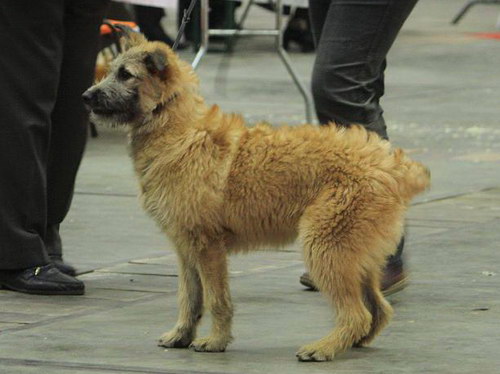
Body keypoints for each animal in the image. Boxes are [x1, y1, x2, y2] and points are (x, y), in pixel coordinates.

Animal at [83, 32, 430, 362]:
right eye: (110, 70)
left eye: (126, 74)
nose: (86, 96)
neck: (174, 125)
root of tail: (393, 165)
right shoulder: (185, 248)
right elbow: (189, 297)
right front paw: (181, 335)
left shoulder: (207, 247)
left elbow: (216, 299)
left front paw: (215, 341)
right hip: (355, 257)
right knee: (378, 310)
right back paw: (350, 342)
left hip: (325, 246)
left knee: (356, 314)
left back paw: (323, 348)